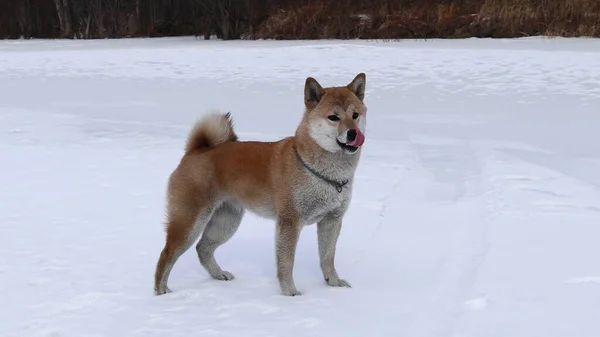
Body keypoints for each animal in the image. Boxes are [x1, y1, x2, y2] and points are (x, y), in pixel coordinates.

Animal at [154, 72, 366, 296]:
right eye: (333, 117)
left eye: (355, 115)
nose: (353, 133)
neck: (321, 172)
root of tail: (196, 150)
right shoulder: (290, 222)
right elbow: (286, 262)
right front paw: (290, 293)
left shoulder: (331, 220)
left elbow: (327, 257)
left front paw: (333, 283)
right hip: (190, 222)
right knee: (167, 254)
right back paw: (161, 291)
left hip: (226, 221)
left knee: (203, 248)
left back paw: (219, 275)